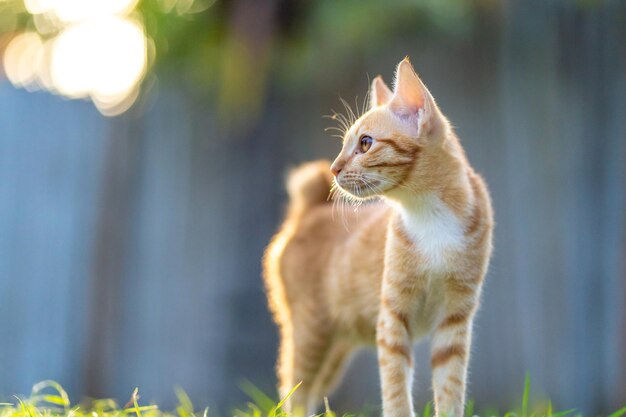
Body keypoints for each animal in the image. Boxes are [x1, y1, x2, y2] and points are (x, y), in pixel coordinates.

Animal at [260, 57, 490, 416]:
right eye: (344, 145)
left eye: (365, 143)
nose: (334, 169)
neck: (430, 217)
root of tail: (310, 209)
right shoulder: (393, 319)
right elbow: (396, 391)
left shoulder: (454, 321)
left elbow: (451, 388)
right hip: (310, 333)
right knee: (294, 391)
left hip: (335, 348)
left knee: (309, 391)